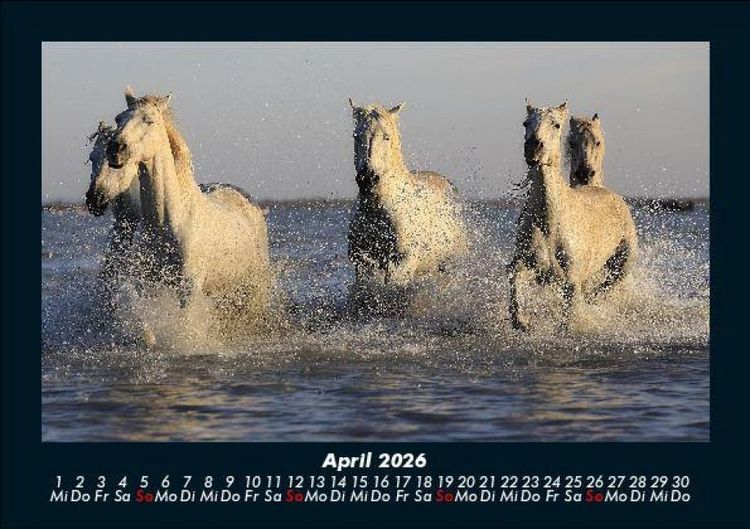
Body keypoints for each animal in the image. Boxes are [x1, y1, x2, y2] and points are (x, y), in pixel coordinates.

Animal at [87, 87, 273, 328]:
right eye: (119, 118)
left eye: (150, 120)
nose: (115, 149)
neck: (167, 223)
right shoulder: (149, 286)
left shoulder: (188, 290)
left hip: (254, 289)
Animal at [346, 99, 468, 313]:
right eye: (356, 136)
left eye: (386, 137)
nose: (367, 179)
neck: (377, 211)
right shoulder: (363, 262)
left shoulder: (402, 262)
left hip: (448, 265)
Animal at [507, 101, 637, 332]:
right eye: (525, 123)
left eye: (556, 125)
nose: (533, 148)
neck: (551, 222)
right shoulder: (528, 264)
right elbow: (515, 278)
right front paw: (522, 321)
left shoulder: (572, 282)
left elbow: (568, 318)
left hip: (622, 262)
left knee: (606, 286)